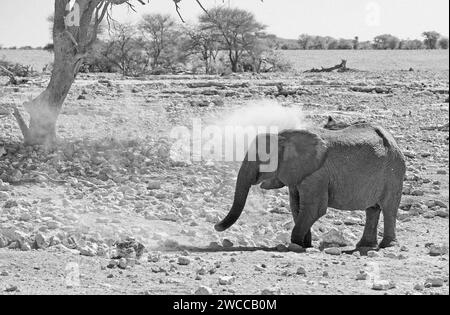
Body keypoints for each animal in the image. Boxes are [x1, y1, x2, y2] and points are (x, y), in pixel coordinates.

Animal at [215, 123, 408, 249]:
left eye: (263, 160)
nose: (216, 227)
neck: (284, 137)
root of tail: (393, 140)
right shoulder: (298, 174)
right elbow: (296, 206)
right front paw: (304, 244)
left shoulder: (317, 174)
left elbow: (314, 209)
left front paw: (295, 244)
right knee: (372, 209)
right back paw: (365, 246)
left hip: (394, 172)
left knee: (389, 208)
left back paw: (387, 246)